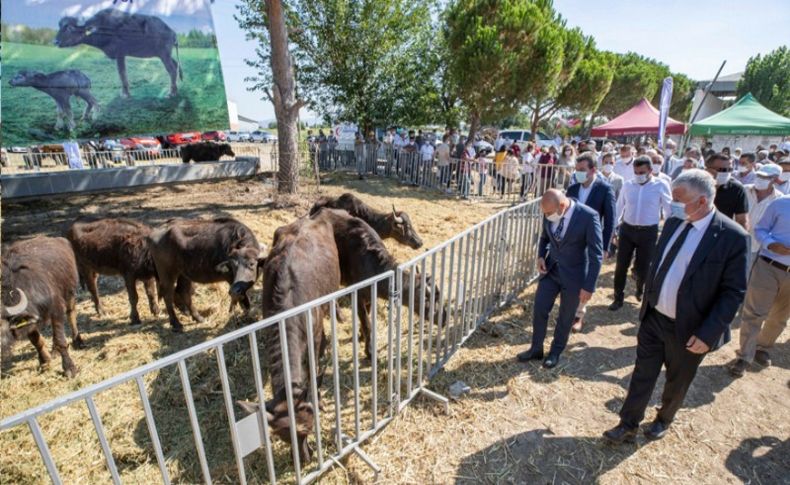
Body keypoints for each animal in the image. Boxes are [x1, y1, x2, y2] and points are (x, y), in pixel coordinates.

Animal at [0, 236, 81, 376]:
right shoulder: (29, 320)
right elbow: (36, 341)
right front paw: (44, 362)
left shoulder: (56, 310)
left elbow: (60, 340)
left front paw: (69, 368)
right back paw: (54, 352)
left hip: (70, 291)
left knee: (71, 314)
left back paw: (77, 340)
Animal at [238, 215, 344, 462]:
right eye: (282, 437)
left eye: (308, 428)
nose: (305, 459)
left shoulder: (315, 332)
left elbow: (313, 368)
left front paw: (320, 400)